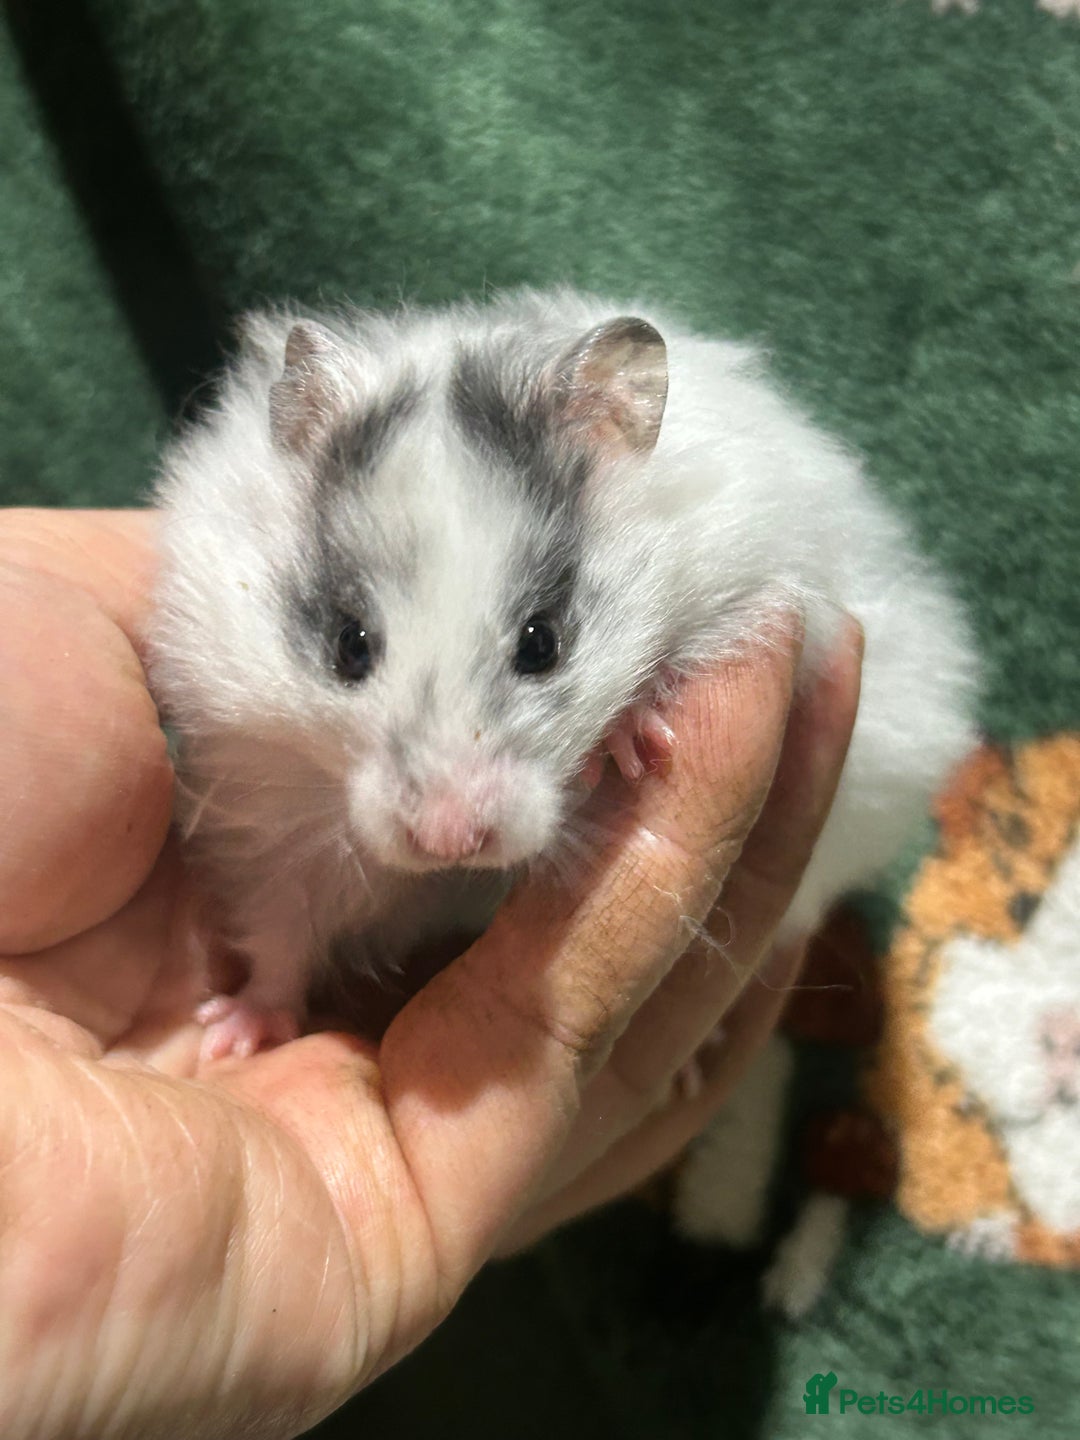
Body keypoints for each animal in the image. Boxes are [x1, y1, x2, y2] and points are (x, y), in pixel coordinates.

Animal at [148, 288, 978, 1061]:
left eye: (542, 642)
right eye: (349, 646)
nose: (449, 839)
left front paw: (634, 741)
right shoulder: (271, 819)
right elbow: (282, 936)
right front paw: (233, 1035)